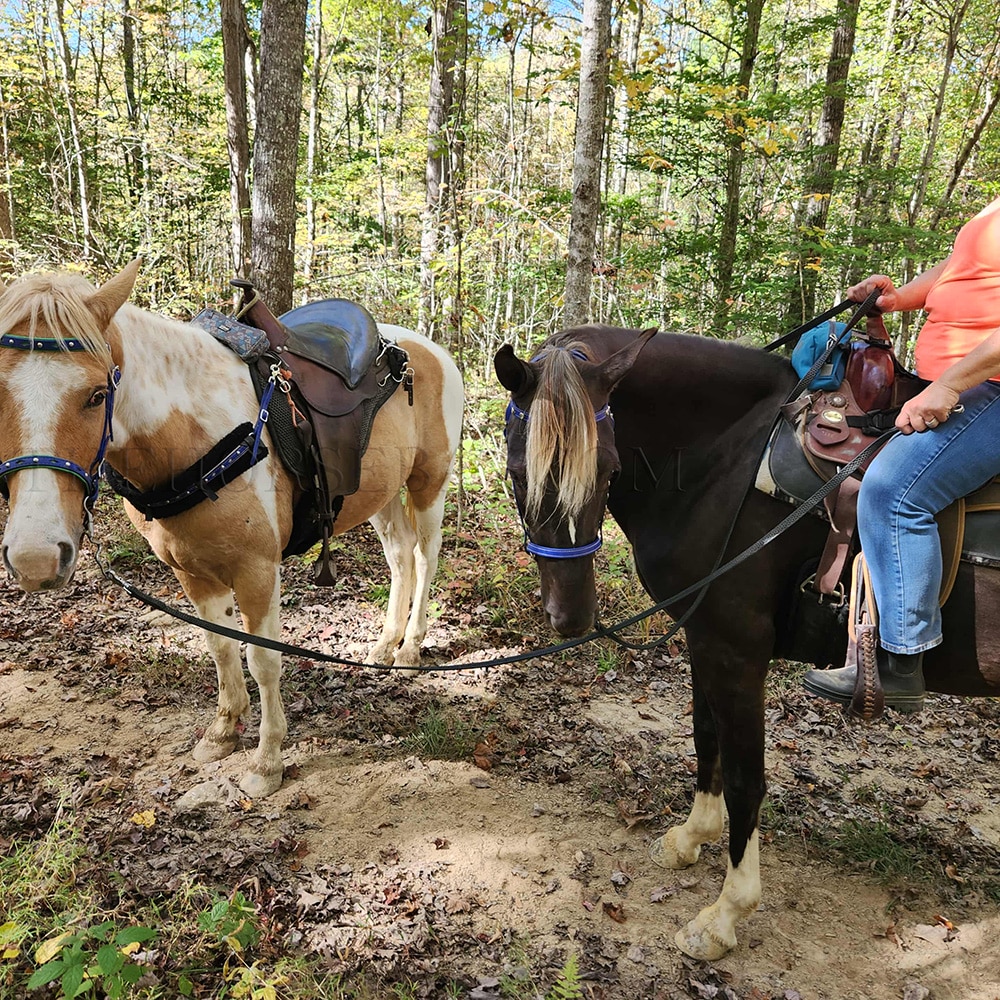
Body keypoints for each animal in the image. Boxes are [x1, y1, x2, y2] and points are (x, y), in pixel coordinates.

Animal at [0, 260, 464, 798]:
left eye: (97, 395)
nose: (35, 558)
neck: (193, 438)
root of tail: (427, 349)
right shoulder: (191, 571)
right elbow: (220, 648)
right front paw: (222, 732)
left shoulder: (257, 570)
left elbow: (263, 660)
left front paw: (267, 760)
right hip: (380, 494)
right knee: (400, 555)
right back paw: (385, 645)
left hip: (429, 481)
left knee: (426, 556)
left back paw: (409, 649)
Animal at [494, 326, 1000, 960]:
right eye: (518, 473)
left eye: (608, 469)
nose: (572, 616)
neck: (728, 458)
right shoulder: (704, 636)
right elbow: (705, 737)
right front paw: (691, 838)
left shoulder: (737, 651)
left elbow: (744, 778)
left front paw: (725, 914)